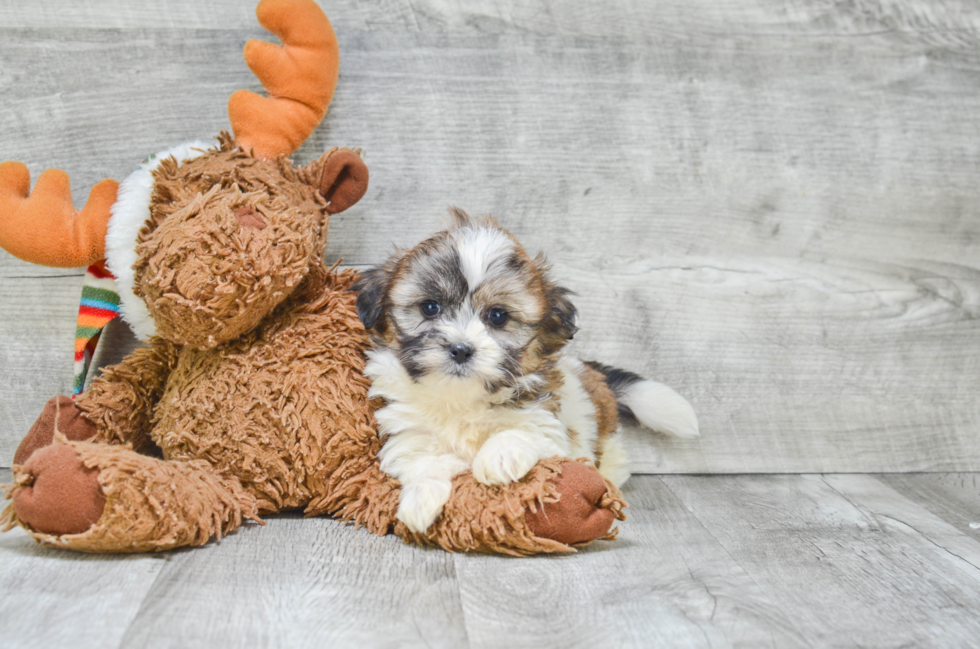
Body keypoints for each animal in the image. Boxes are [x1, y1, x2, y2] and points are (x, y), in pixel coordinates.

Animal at [352, 210, 696, 536]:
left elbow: (524, 430)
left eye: (498, 316)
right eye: (430, 307)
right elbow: (423, 460)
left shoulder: (550, 427)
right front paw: (420, 501)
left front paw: (498, 458)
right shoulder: (407, 432)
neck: (462, 398)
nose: (461, 349)